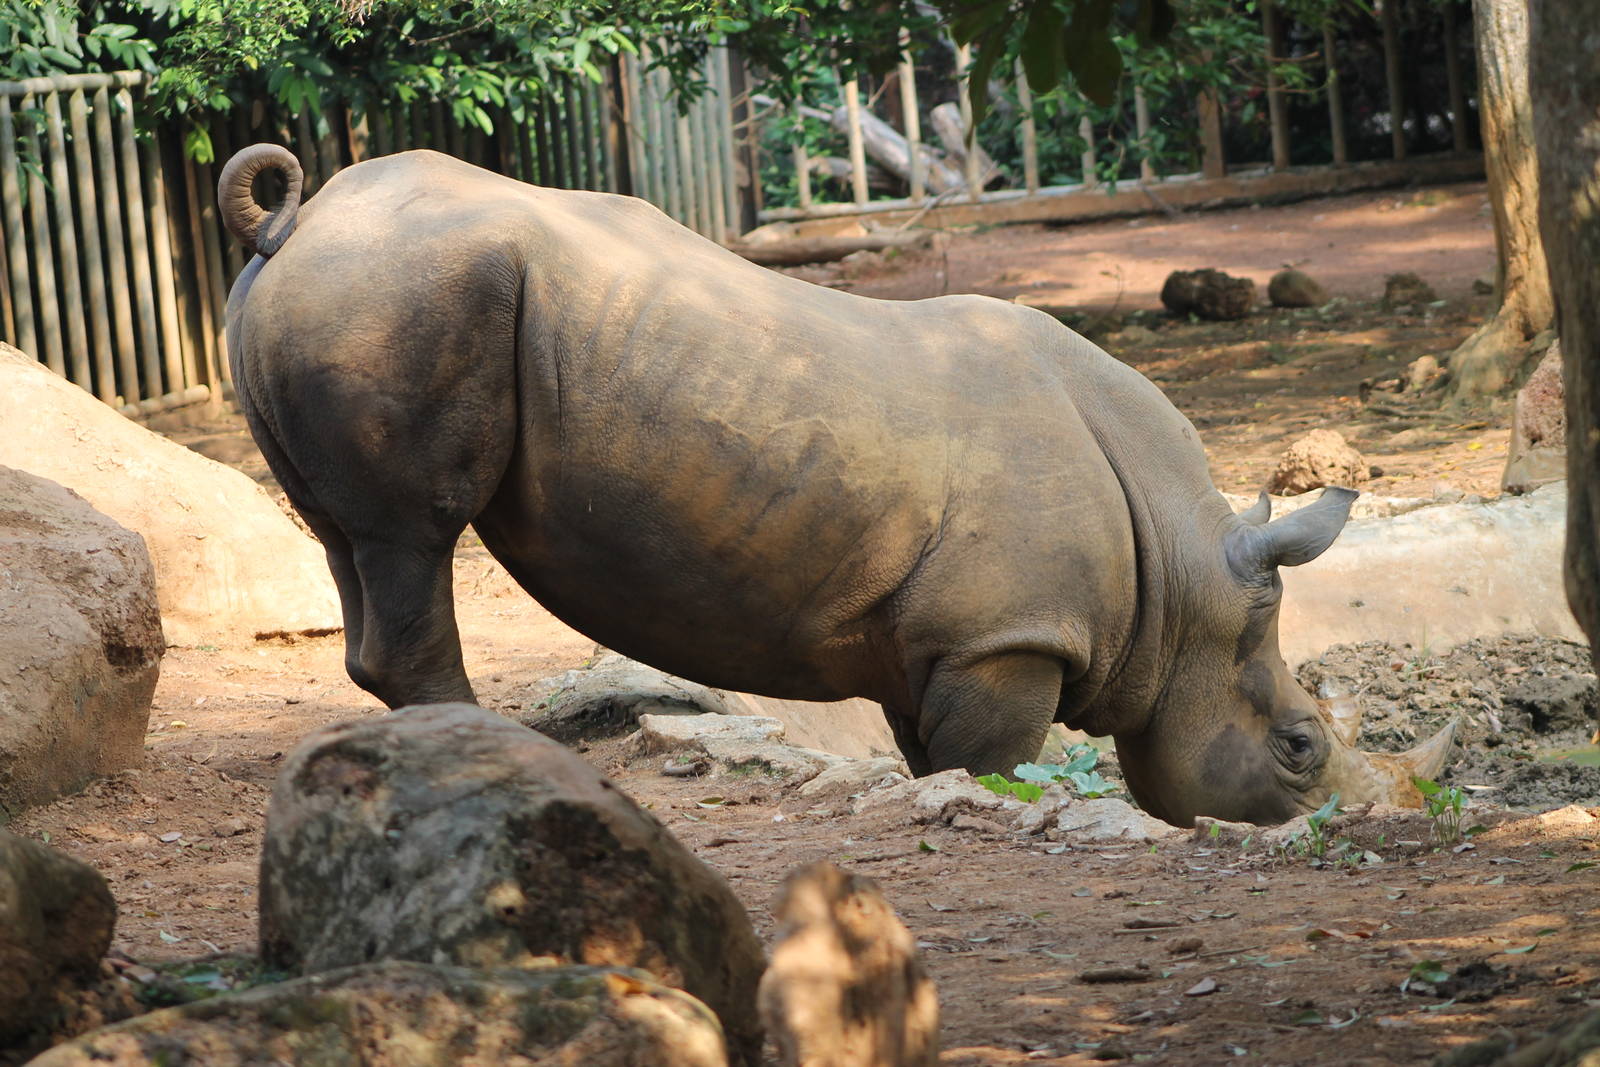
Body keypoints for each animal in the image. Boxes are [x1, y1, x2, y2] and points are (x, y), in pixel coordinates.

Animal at [218, 144, 1452, 827]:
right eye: (1300, 748)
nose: (1350, 819)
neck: (1185, 577)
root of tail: (297, 218)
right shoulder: (1007, 638)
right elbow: (989, 765)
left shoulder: (939, 639)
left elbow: (928, 754)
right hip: (399, 291)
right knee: (411, 535)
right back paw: (500, 760)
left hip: (347, 292)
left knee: (349, 541)